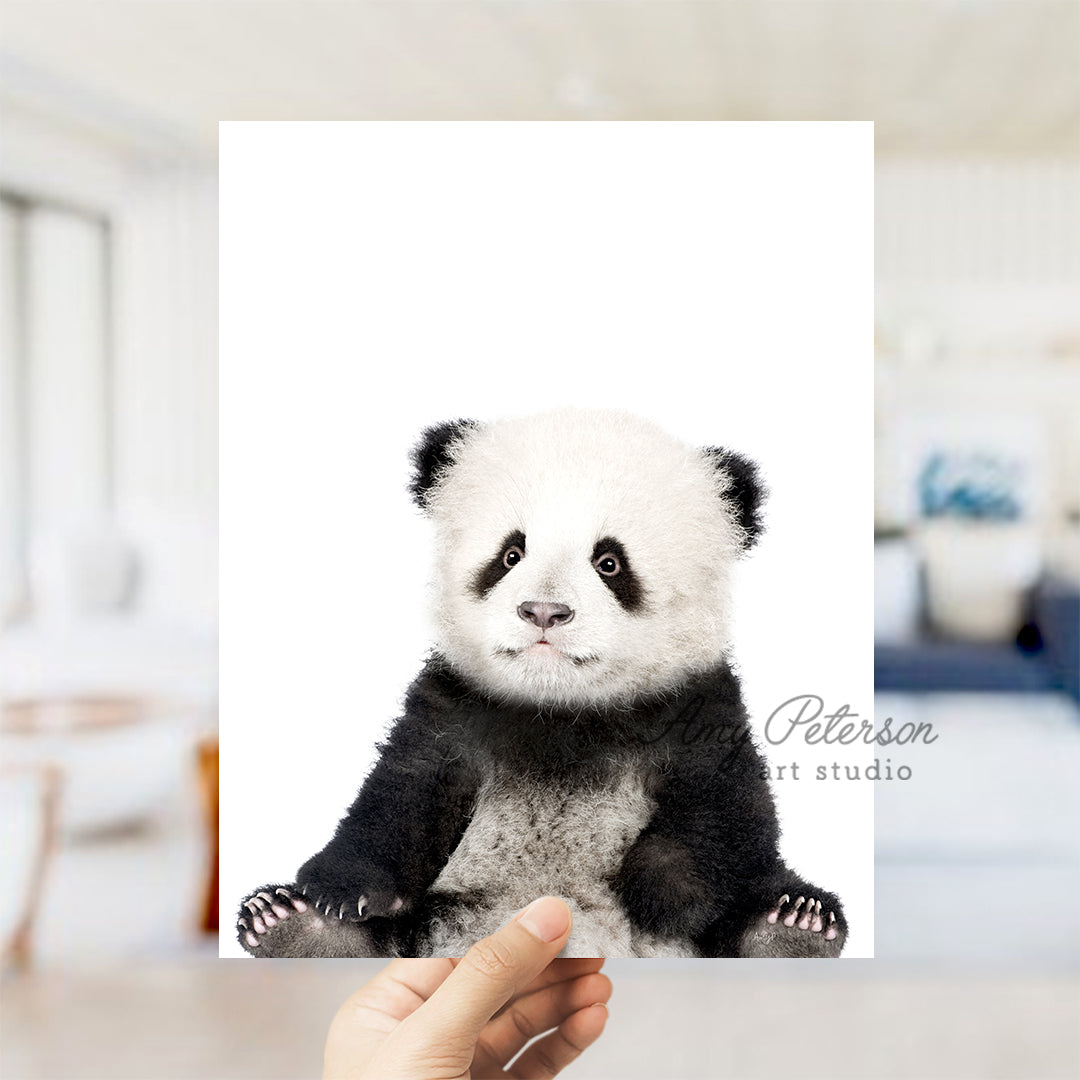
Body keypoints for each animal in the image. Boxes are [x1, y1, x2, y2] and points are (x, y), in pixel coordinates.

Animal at [234, 408, 842, 959]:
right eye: (510, 554)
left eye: (609, 562)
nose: (544, 611)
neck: (560, 708)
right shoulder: (454, 709)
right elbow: (401, 795)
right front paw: (337, 892)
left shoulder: (697, 707)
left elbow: (729, 813)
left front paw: (667, 891)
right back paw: (295, 926)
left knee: (762, 901)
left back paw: (792, 927)